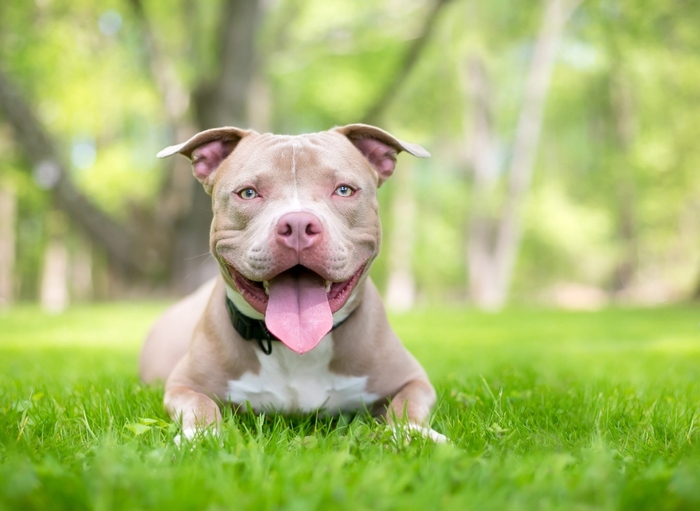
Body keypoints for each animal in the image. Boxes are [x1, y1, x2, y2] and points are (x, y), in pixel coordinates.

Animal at [139, 125, 446, 444]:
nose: (298, 224)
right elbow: (200, 404)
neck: (293, 347)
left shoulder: (413, 379)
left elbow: (407, 403)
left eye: (344, 190)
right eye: (248, 193)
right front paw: (200, 436)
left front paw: (415, 433)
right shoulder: (183, 384)